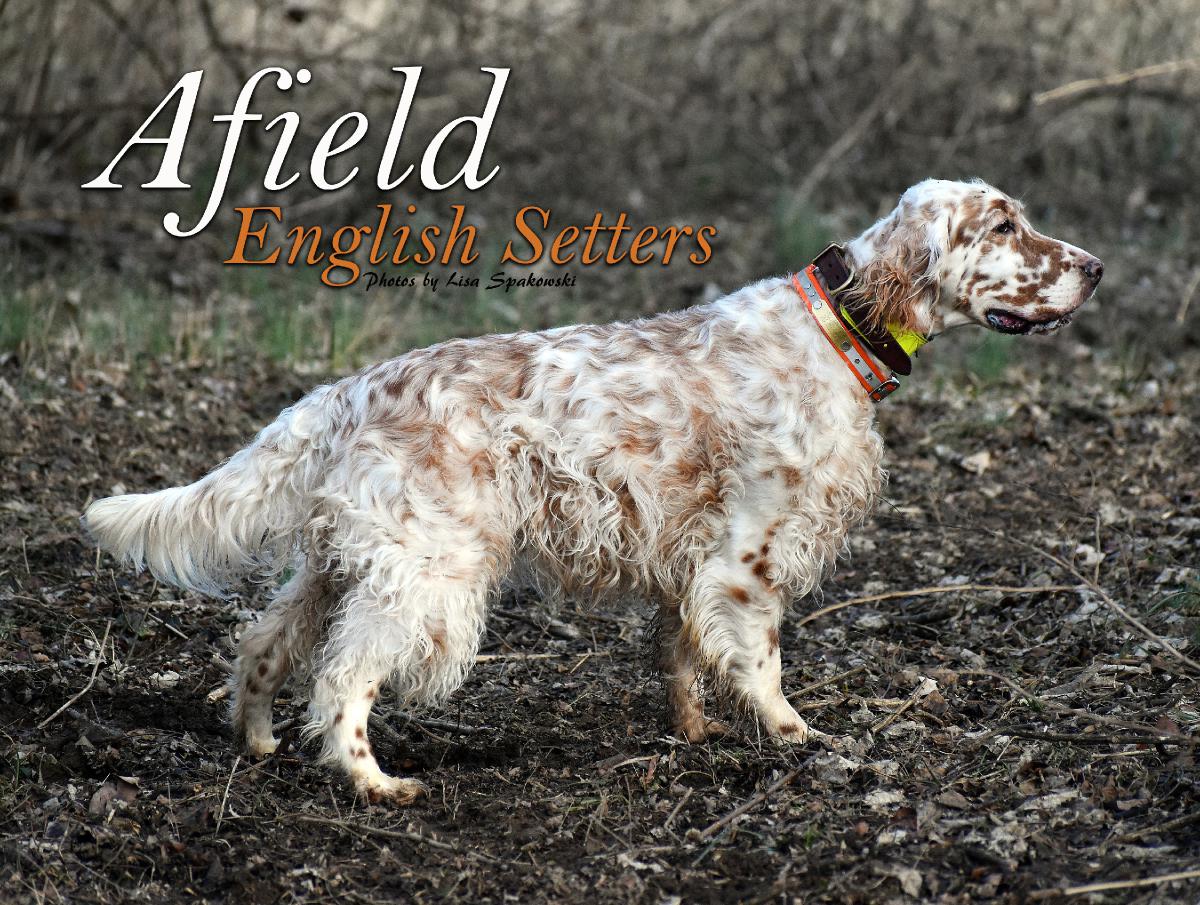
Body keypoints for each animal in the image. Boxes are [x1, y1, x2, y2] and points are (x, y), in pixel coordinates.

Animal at [79, 180, 1099, 801]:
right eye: (1003, 226)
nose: (1092, 267)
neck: (833, 329)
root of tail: (351, 387)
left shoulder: (689, 559)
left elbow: (683, 656)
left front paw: (695, 731)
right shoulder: (749, 553)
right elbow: (759, 660)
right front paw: (794, 733)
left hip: (349, 560)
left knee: (265, 643)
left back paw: (255, 739)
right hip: (431, 572)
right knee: (341, 678)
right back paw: (373, 781)